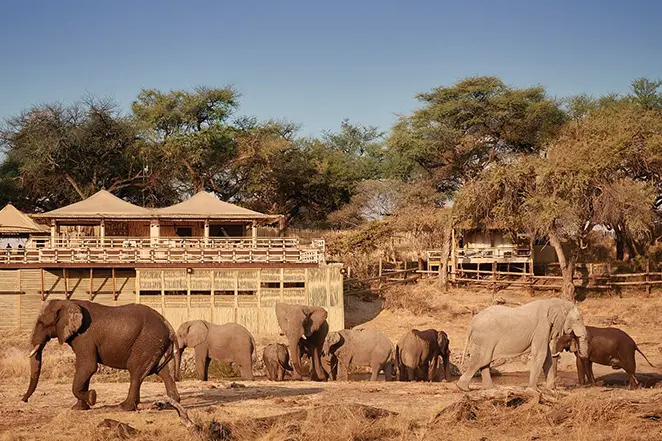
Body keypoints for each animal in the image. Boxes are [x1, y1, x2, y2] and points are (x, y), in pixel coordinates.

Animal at [22, 300, 179, 410]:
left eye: (42, 323)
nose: (24, 400)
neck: (66, 302)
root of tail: (168, 324)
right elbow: (85, 369)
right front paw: (78, 408)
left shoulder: (84, 337)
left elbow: (88, 367)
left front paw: (92, 397)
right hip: (156, 344)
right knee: (163, 372)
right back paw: (171, 403)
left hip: (147, 340)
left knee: (135, 371)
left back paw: (123, 407)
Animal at [456, 300, 592, 388]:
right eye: (578, 319)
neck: (556, 302)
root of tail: (471, 323)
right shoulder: (542, 326)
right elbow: (540, 354)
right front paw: (532, 390)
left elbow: (546, 356)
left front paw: (550, 390)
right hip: (484, 338)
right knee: (481, 360)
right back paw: (462, 387)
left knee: (485, 361)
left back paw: (489, 389)